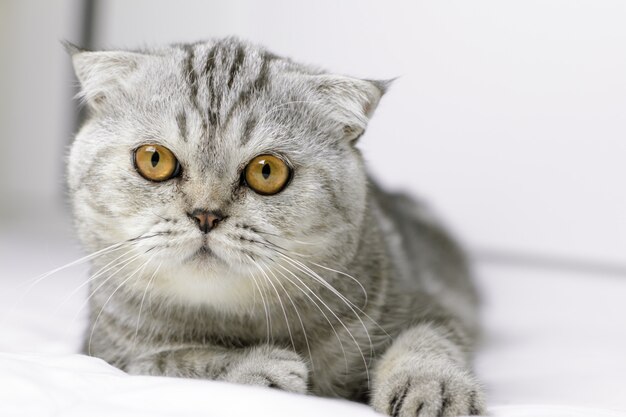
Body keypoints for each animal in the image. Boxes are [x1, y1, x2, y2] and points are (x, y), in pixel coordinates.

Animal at [68, 37, 486, 414]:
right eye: (154, 160)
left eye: (266, 171)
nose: (206, 215)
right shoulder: (105, 351)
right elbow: (173, 359)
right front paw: (256, 365)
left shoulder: (432, 309)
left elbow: (427, 341)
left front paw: (434, 387)